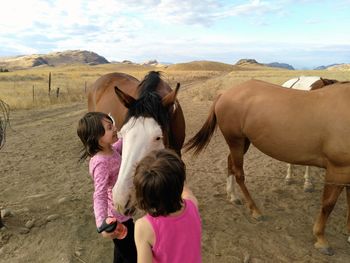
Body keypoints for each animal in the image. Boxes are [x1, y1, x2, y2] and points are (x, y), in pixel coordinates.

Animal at [185, 79, 348, 256]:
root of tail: (225, 94)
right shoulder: (337, 170)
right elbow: (328, 204)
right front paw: (321, 239)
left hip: (243, 142)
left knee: (230, 163)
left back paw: (233, 196)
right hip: (236, 140)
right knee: (239, 173)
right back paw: (255, 210)